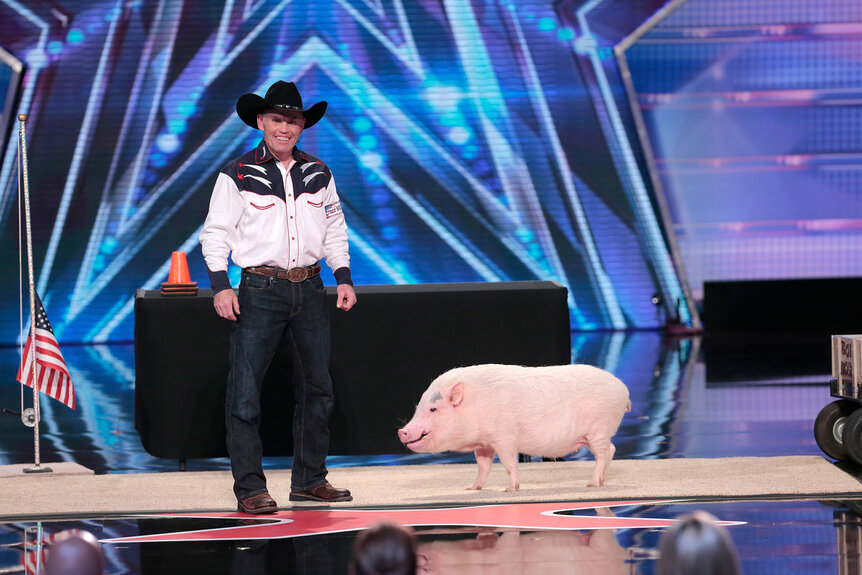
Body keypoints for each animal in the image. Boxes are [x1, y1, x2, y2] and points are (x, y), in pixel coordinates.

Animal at [394, 364, 632, 490]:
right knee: (611, 450)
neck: (474, 405)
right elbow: (483, 467)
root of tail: (624, 389)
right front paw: (472, 488)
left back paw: (592, 485)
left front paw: (510, 490)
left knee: (603, 453)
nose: (401, 431)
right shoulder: (484, 444)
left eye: (433, 409)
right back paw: (601, 482)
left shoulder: (504, 437)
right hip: (592, 435)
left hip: (599, 428)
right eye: (418, 406)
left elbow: (509, 463)